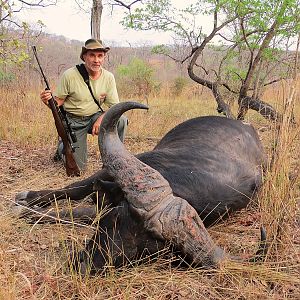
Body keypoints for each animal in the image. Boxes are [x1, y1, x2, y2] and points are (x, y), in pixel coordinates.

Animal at [14, 101, 268, 274]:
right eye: (115, 217)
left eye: (148, 249)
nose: (83, 266)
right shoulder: (114, 170)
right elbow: (74, 189)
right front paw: (28, 203)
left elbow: (81, 212)